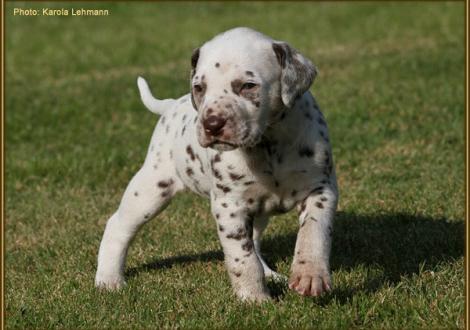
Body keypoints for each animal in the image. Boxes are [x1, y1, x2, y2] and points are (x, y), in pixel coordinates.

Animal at [95, 27, 338, 302]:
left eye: (248, 85)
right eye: (199, 87)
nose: (212, 124)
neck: (267, 144)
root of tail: (171, 105)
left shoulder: (321, 189)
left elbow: (313, 233)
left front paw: (310, 276)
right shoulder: (229, 205)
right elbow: (242, 257)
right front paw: (254, 299)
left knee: (256, 240)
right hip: (151, 189)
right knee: (117, 226)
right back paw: (109, 279)